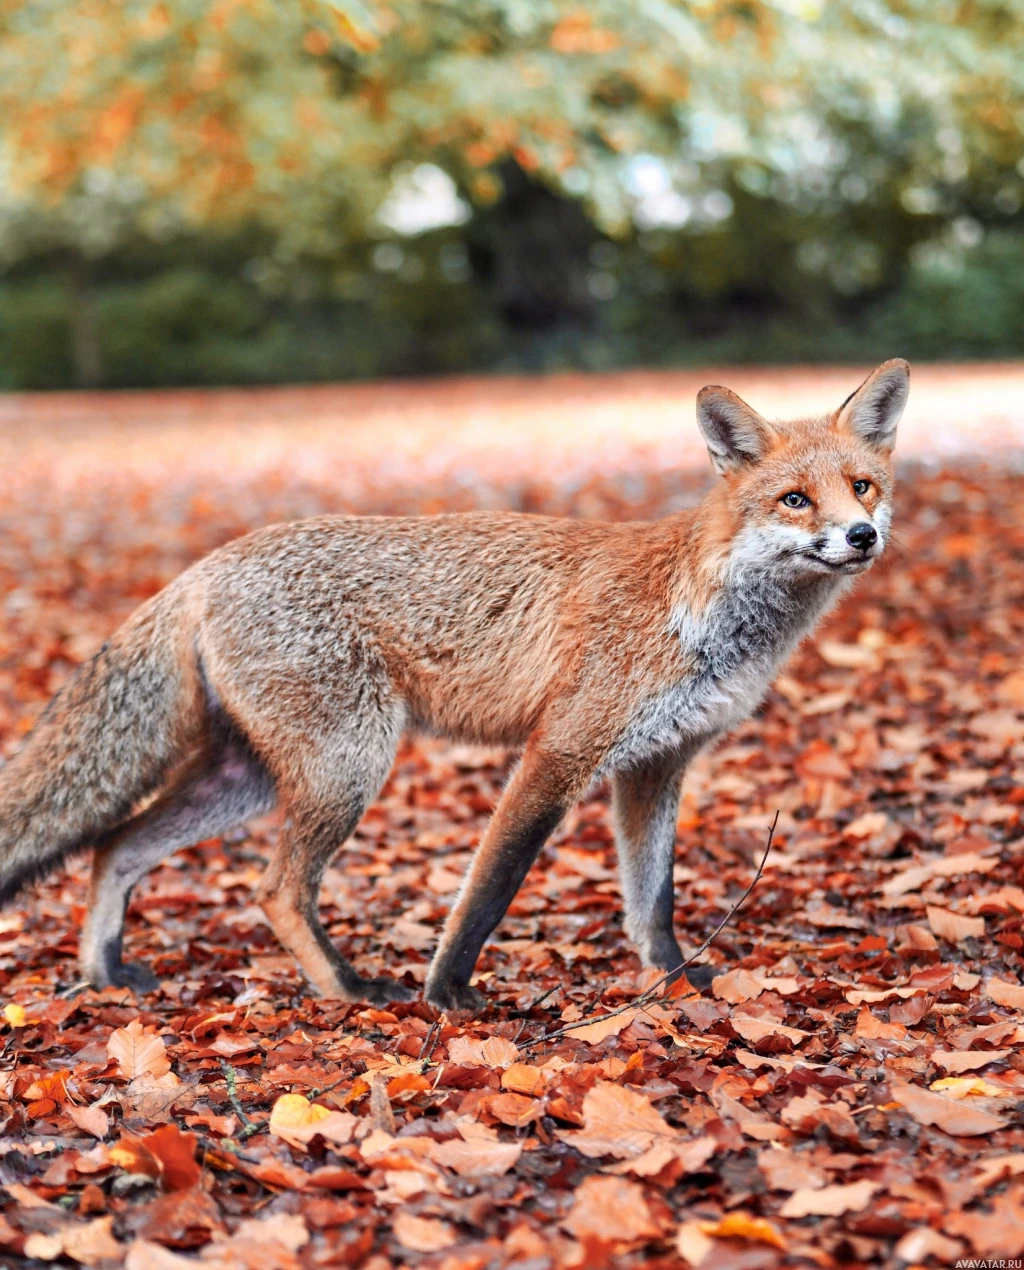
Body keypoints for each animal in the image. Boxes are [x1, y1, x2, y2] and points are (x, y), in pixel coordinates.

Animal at [0, 360, 909, 1010]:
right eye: (795, 500)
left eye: (862, 487)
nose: (861, 536)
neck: (707, 611)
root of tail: (206, 566)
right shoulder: (561, 751)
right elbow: (489, 889)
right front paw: (449, 996)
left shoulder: (658, 765)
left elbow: (652, 903)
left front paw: (677, 984)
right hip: (348, 766)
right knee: (276, 889)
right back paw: (351, 990)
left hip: (250, 778)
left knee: (114, 847)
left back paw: (106, 974)